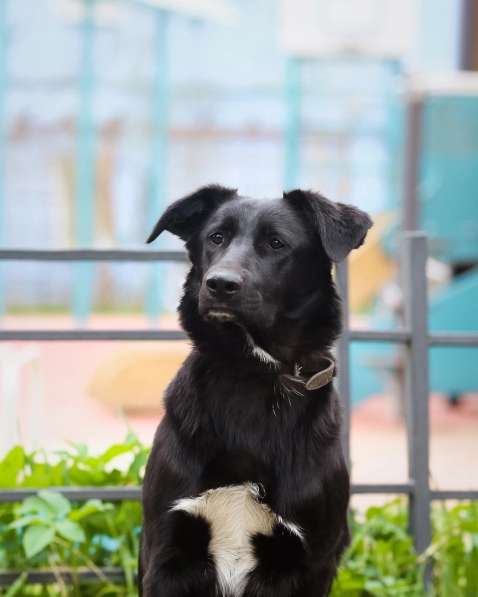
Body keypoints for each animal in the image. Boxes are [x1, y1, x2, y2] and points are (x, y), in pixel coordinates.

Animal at [140, 184, 372, 592]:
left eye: (277, 243)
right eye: (216, 237)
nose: (219, 284)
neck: (253, 373)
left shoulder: (313, 560)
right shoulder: (166, 552)